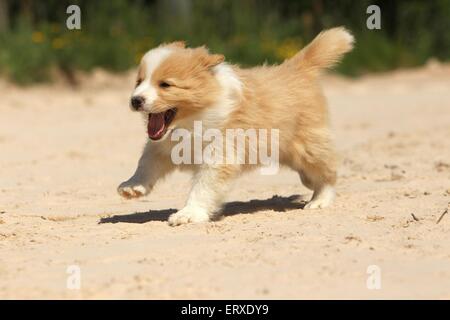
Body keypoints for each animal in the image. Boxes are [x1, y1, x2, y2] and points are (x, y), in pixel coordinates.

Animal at [117, 27, 356, 225]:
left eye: (165, 84)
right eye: (139, 81)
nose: (135, 100)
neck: (193, 118)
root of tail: (297, 68)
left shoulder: (220, 154)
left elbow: (203, 188)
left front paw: (189, 214)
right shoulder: (162, 146)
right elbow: (146, 164)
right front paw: (132, 186)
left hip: (308, 147)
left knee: (328, 172)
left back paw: (319, 200)